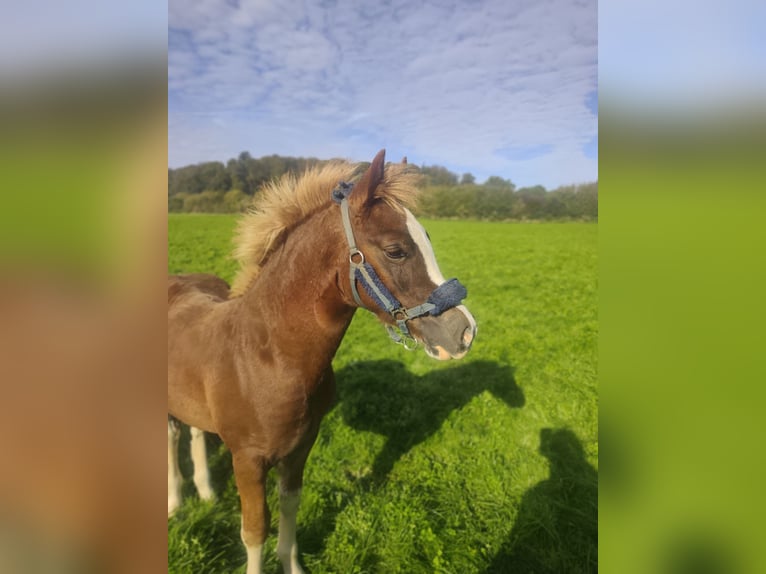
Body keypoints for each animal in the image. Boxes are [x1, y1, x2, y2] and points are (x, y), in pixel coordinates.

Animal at [167, 149, 477, 574]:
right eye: (396, 250)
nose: (464, 332)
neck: (269, 357)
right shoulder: (247, 459)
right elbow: (254, 530)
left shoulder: (300, 448)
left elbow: (289, 508)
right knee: (170, 437)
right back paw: (175, 502)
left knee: (194, 431)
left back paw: (206, 492)